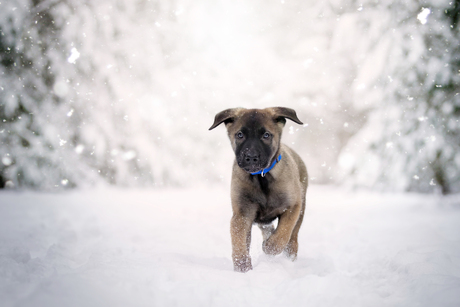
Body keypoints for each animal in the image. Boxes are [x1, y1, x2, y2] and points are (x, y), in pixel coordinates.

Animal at [210, 107, 308, 274]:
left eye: (266, 135)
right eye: (240, 135)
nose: (251, 157)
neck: (261, 177)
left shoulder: (293, 206)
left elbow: (283, 233)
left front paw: (270, 247)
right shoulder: (242, 214)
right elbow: (238, 241)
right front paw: (242, 267)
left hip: (301, 210)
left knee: (292, 238)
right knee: (268, 228)